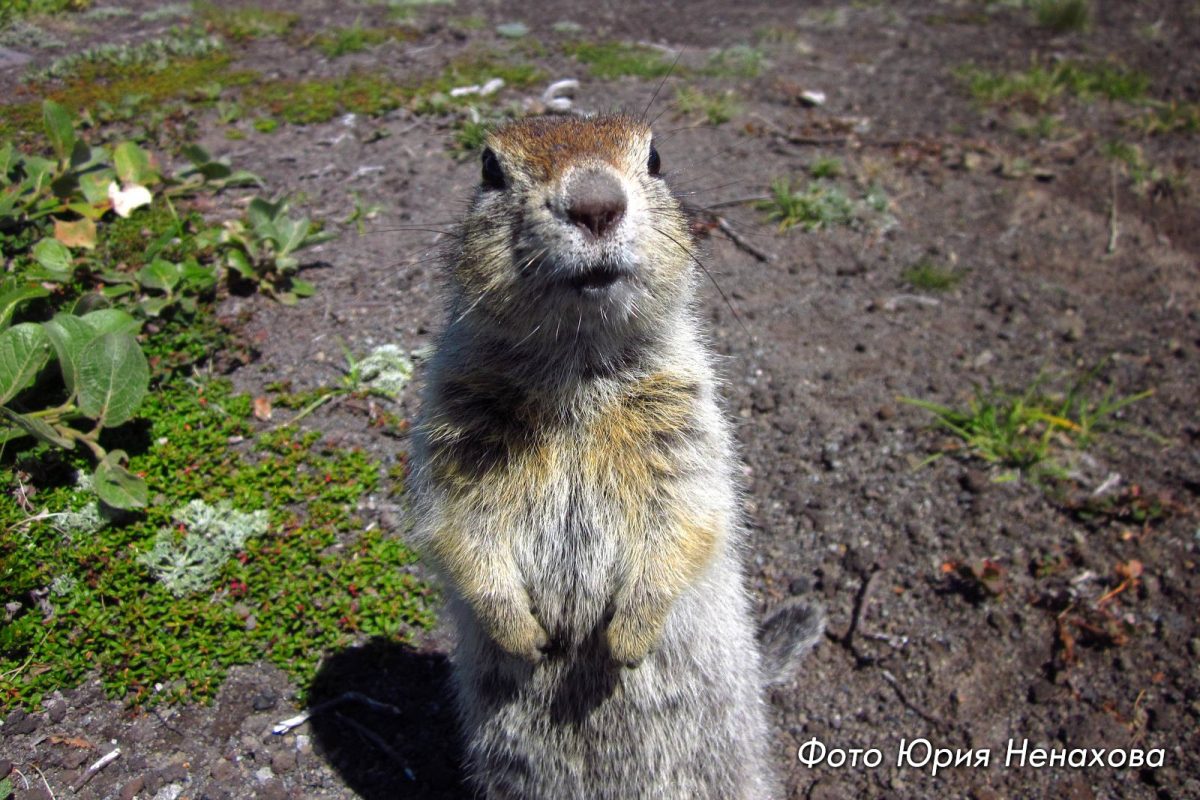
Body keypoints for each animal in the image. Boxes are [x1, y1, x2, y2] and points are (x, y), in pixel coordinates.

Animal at [408, 113, 820, 800]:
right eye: (489, 169)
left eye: (655, 158)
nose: (596, 203)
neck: (577, 367)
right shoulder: (453, 420)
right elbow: (457, 526)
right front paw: (522, 634)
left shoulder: (686, 421)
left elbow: (688, 515)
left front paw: (628, 637)